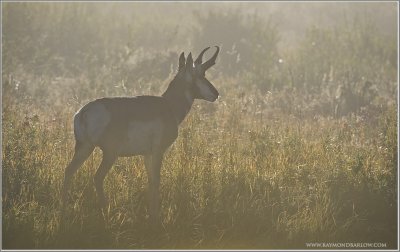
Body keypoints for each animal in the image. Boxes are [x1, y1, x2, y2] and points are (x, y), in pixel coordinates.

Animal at [61, 46, 222, 223]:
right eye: (200, 74)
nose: (216, 94)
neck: (169, 105)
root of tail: (84, 112)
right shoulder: (158, 151)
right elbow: (156, 180)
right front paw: (155, 217)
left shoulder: (147, 154)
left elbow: (150, 180)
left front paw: (151, 213)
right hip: (110, 153)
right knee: (97, 177)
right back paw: (105, 212)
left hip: (85, 148)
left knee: (68, 172)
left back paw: (65, 211)